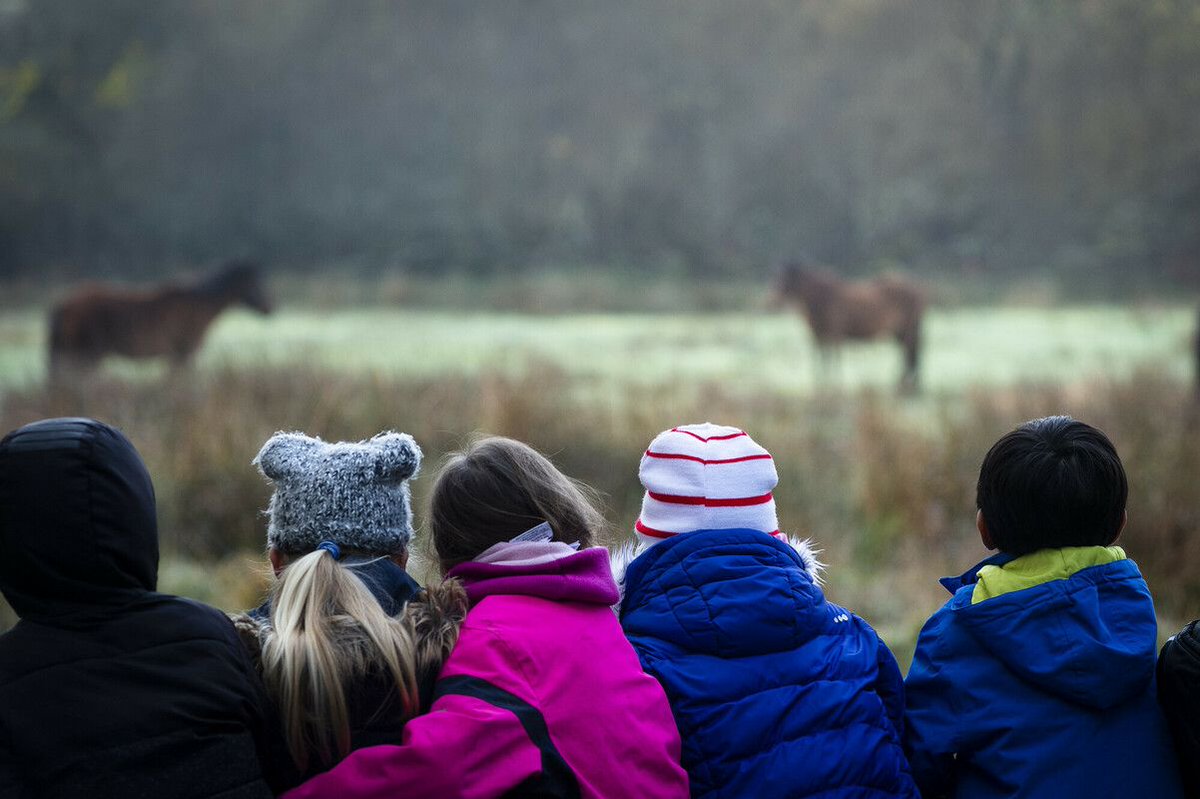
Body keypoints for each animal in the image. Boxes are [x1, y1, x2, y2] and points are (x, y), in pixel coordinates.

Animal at [49, 260, 272, 374]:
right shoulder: (182, 354)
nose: (269, 308)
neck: (198, 305)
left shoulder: (178, 357)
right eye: (255, 284)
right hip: (88, 356)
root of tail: (62, 304)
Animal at [772, 261, 921, 391]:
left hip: (907, 332)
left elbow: (834, 357)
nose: (772, 300)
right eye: (778, 278)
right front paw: (820, 382)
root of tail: (916, 290)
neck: (823, 299)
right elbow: (821, 358)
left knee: (907, 354)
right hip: (898, 333)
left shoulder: (835, 334)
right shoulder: (819, 336)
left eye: (784, 280)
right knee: (908, 355)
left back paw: (902, 383)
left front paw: (835, 383)